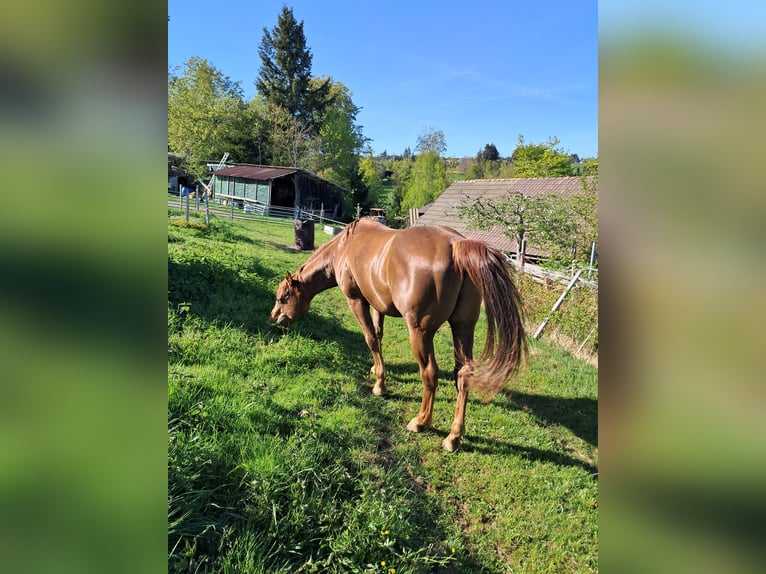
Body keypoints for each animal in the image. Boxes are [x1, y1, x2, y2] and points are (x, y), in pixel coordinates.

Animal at [269, 219, 527, 452]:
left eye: (283, 298)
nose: (274, 319)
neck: (344, 247)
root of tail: (456, 245)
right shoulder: (377, 304)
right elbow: (378, 335)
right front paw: (375, 369)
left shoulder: (357, 301)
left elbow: (370, 338)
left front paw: (380, 385)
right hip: (463, 328)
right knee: (463, 375)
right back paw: (453, 437)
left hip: (420, 333)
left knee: (430, 373)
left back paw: (421, 422)